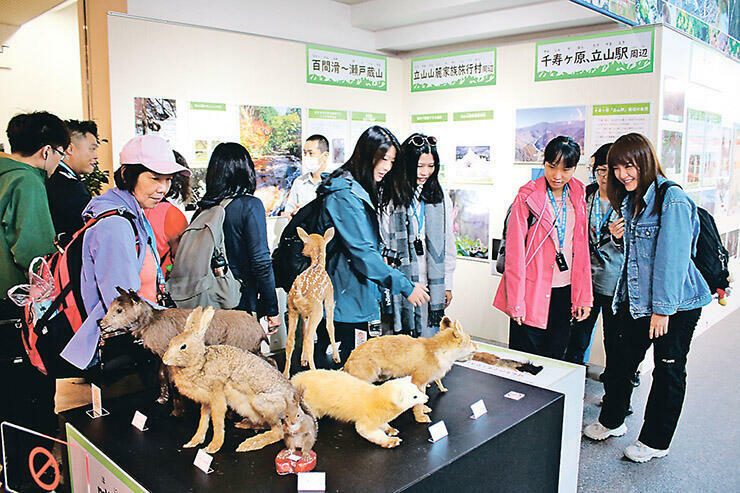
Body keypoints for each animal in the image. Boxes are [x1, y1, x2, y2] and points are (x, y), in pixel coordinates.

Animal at [163, 308, 310, 454]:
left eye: (183, 346)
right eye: (171, 342)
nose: (164, 360)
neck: (200, 362)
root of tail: (294, 400)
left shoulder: (217, 394)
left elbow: (217, 419)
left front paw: (213, 447)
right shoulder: (206, 402)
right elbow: (203, 420)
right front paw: (193, 442)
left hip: (263, 403)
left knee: (278, 431)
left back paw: (250, 443)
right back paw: (246, 424)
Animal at [284, 228, 342, 376]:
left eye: (305, 242)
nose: (302, 252)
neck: (318, 265)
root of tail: (297, 294)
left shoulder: (304, 313)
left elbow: (303, 331)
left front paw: (302, 360)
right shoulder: (329, 297)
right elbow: (330, 326)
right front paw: (336, 357)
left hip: (292, 310)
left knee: (291, 340)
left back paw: (286, 373)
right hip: (317, 311)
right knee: (309, 338)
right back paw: (315, 370)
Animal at [290, 368, 424, 446]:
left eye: (417, 388)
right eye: (415, 396)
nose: (426, 397)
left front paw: (391, 430)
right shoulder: (366, 419)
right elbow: (366, 431)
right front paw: (392, 441)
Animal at [344, 318, 476, 420]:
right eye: (470, 341)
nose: (477, 346)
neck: (438, 353)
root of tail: (351, 356)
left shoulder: (422, 383)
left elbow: (423, 399)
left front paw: (425, 408)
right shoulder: (418, 381)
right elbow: (419, 404)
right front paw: (420, 417)